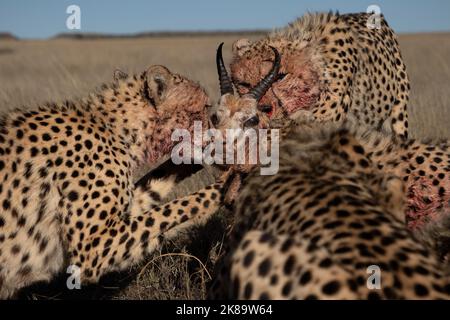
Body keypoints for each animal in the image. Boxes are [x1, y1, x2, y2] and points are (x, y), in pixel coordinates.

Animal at [0, 64, 232, 298]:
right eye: (204, 106)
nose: (216, 132)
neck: (116, 127)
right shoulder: (91, 252)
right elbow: (170, 210)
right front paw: (228, 183)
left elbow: (161, 197)